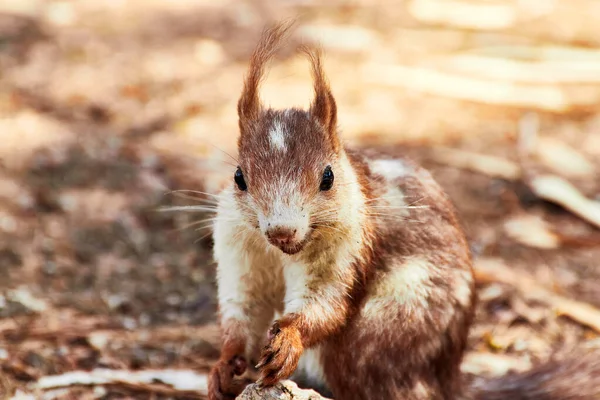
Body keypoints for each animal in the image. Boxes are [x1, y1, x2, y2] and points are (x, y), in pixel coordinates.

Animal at [205, 21, 600, 400]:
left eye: (327, 177)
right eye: (239, 177)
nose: (281, 231)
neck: (281, 253)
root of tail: (445, 381)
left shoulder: (346, 250)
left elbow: (326, 304)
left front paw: (289, 338)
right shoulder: (239, 252)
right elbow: (244, 310)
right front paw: (224, 366)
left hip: (378, 333)